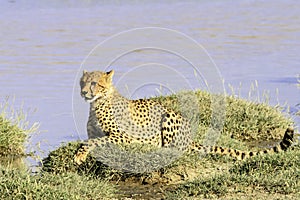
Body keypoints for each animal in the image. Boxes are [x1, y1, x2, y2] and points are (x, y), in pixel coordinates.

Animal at [74, 70, 294, 166]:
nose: (83, 92)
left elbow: (93, 141)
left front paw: (79, 155)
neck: (98, 103)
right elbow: (90, 138)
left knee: (175, 149)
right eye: (83, 82)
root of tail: (191, 138)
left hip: (169, 115)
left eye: (94, 83)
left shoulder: (125, 136)